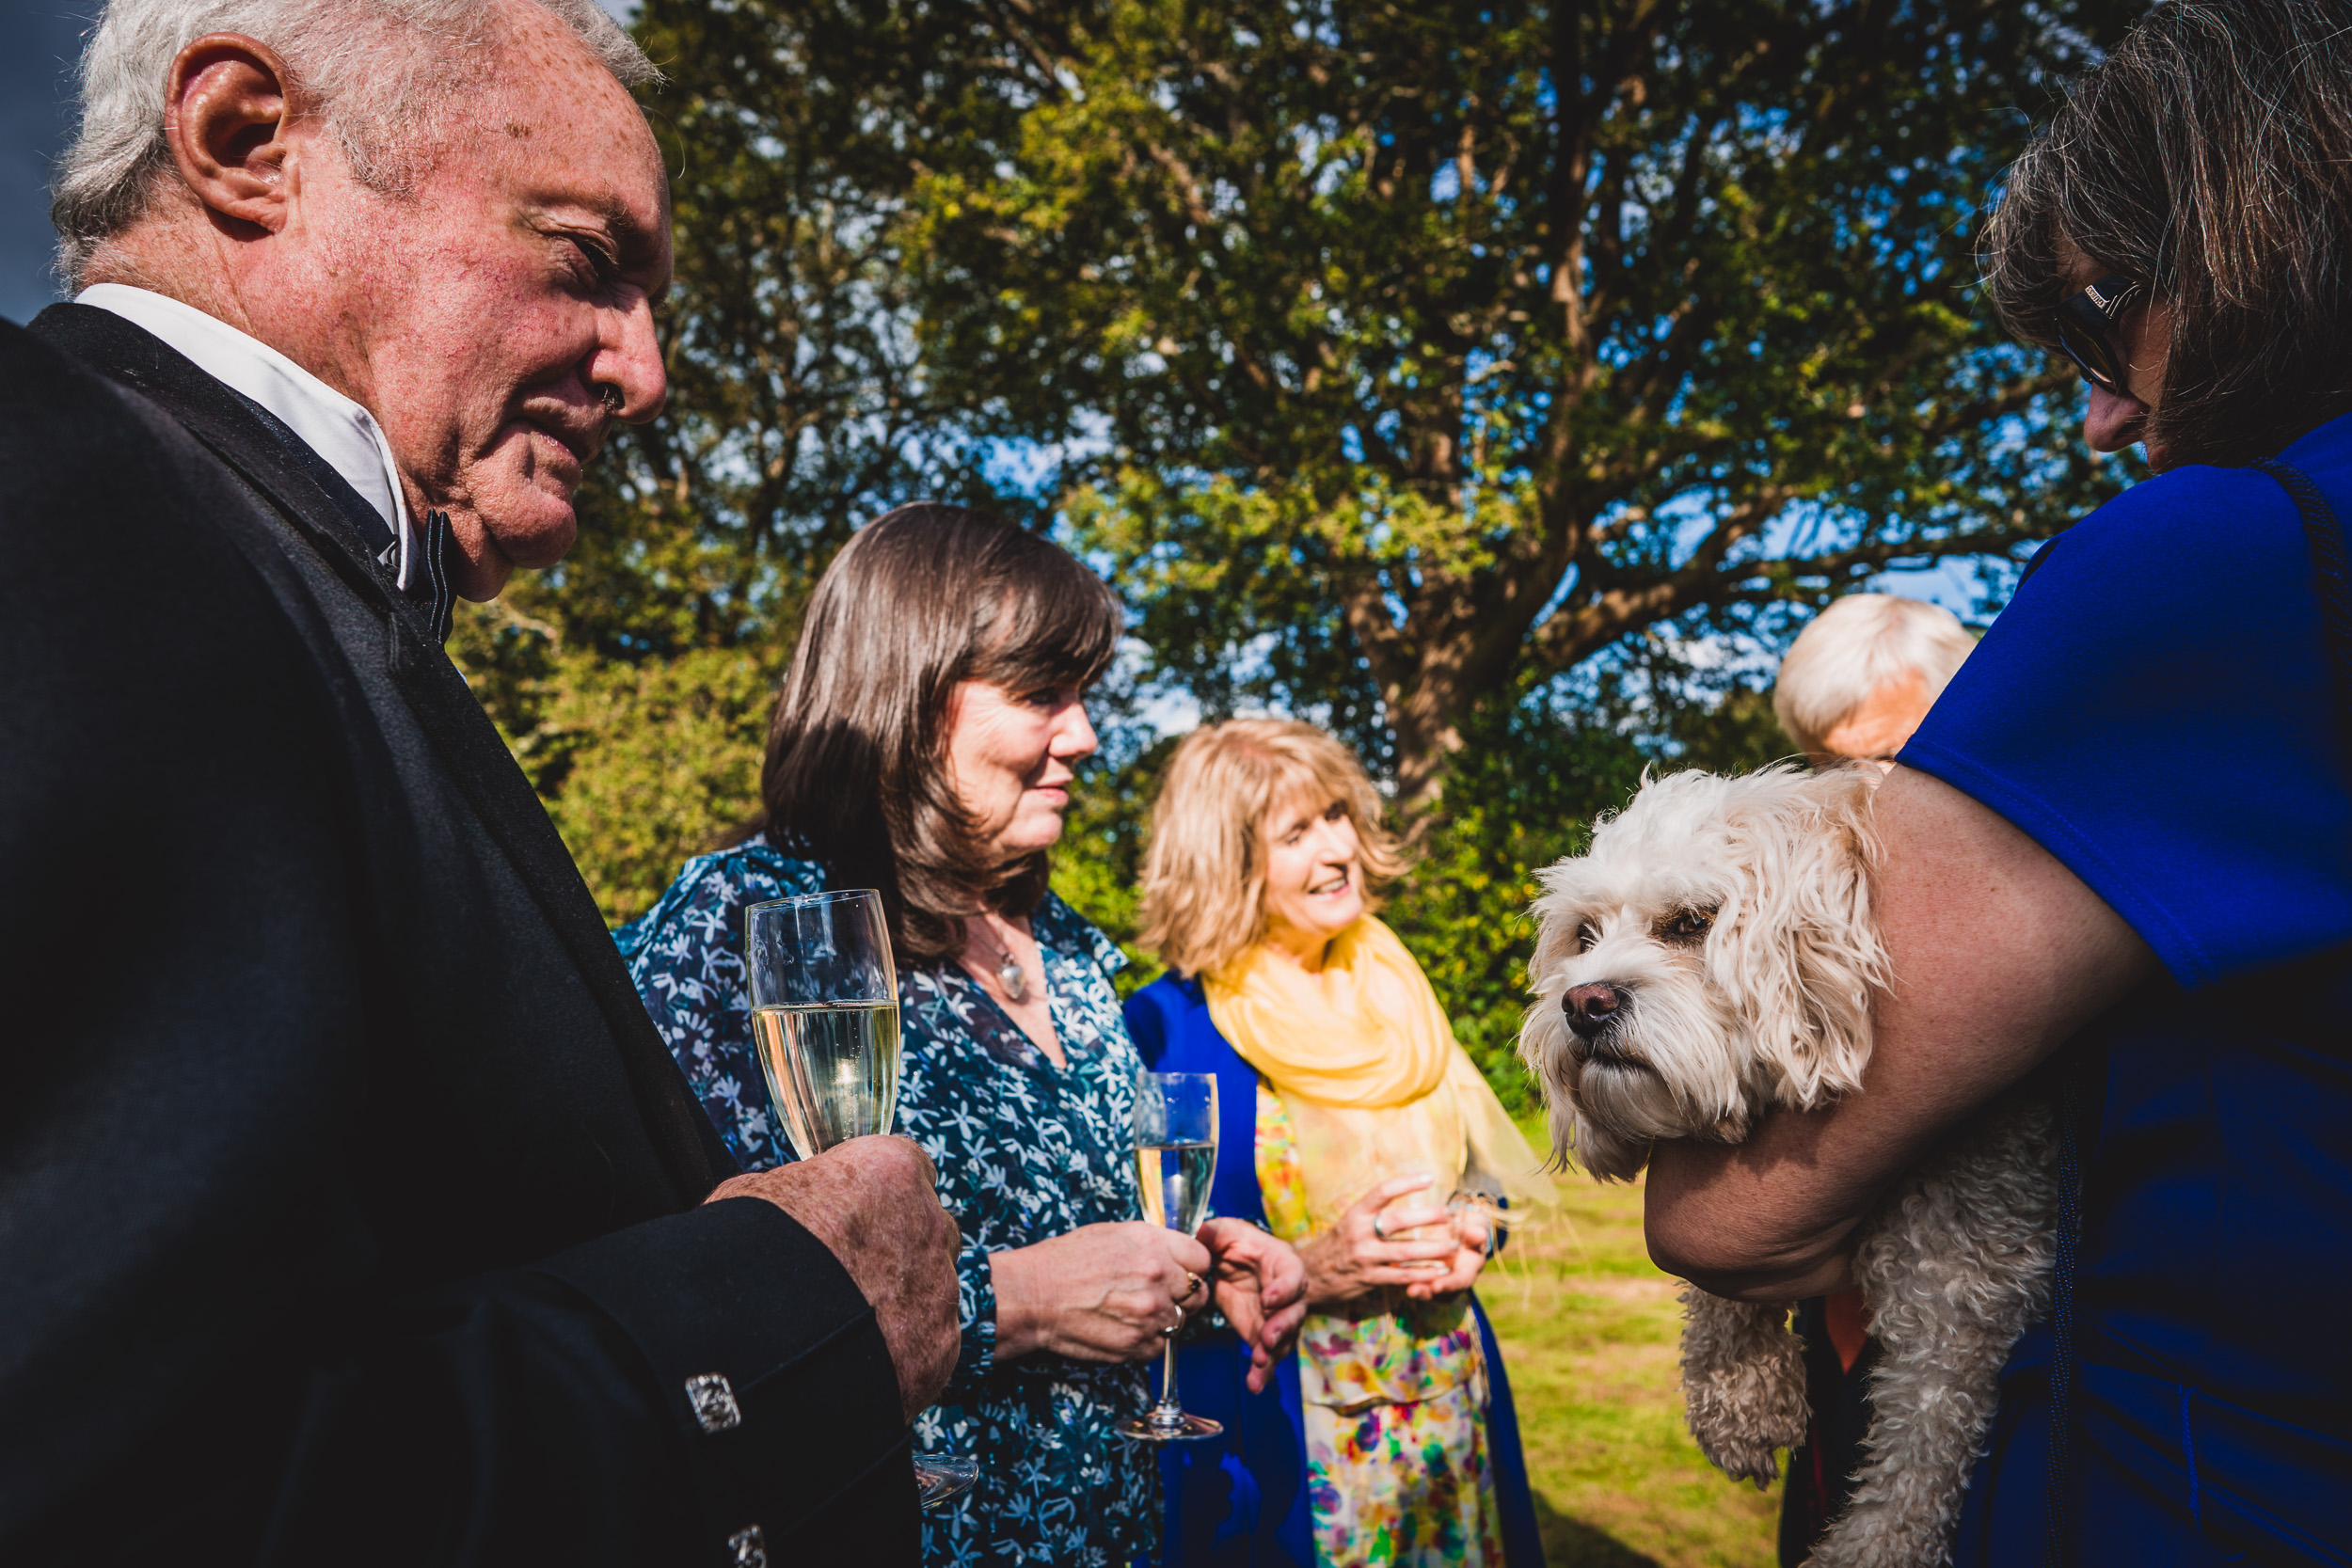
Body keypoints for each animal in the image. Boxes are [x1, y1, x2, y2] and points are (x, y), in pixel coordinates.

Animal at [1515, 766, 2051, 1560]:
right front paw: (1741, 1394)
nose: (1583, 1002)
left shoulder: (1963, 1272)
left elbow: (1921, 1447)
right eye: (1584, 934)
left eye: (1690, 922)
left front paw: (1868, 1544)